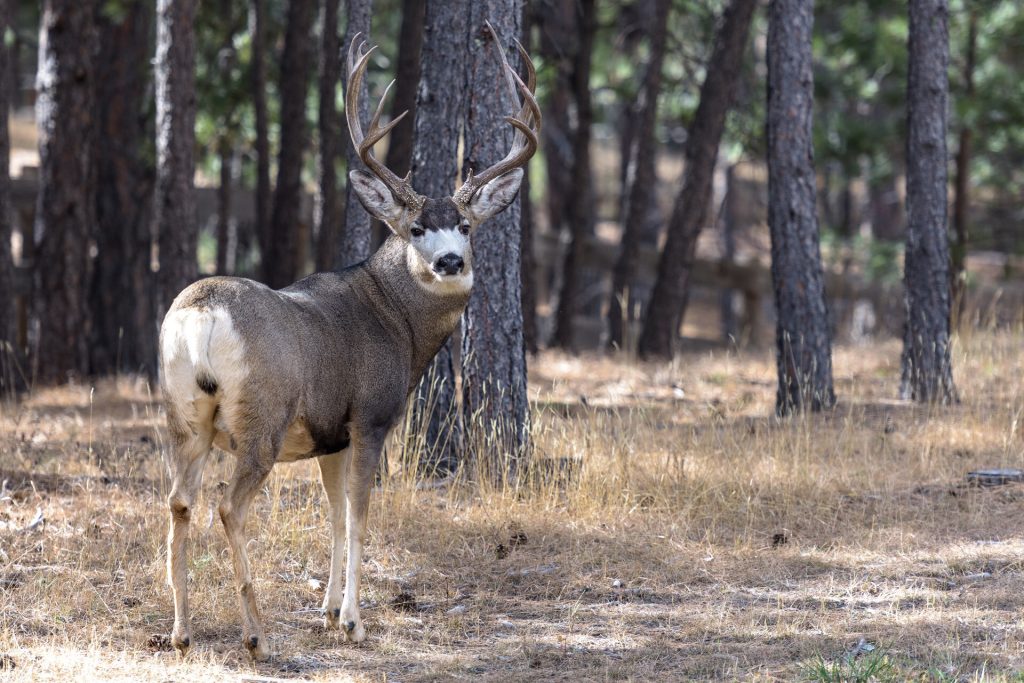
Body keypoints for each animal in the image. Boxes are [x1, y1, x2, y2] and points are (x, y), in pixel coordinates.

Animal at [158, 23, 539, 661]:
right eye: (416, 228)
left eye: (464, 224)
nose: (451, 261)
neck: (396, 322)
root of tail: (201, 314)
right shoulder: (370, 416)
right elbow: (360, 516)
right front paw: (355, 621)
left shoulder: (328, 435)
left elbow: (334, 516)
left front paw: (329, 608)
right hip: (261, 417)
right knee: (228, 505)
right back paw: (256, 635)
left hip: (185, 415)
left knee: (180, 501)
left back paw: (182, 630)